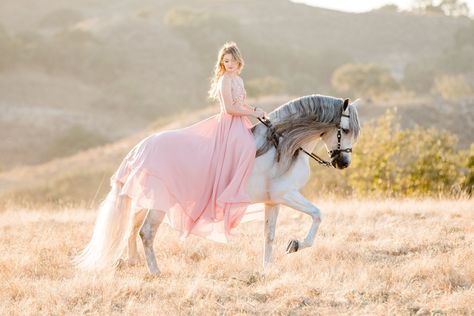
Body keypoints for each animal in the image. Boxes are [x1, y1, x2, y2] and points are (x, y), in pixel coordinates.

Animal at [74, 94, 362, 274]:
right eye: (346, 131)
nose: (343, 163)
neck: (283, 146)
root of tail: (138, 149)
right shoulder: (286, 195)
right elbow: (318, 214)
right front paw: (297, 245)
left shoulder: (273, 201)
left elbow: (269, 235)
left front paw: (268, 267)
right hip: (158, 204)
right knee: (146, 232)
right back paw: (155, 271)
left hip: (145, 199)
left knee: (131, 227)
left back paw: (131, 262)